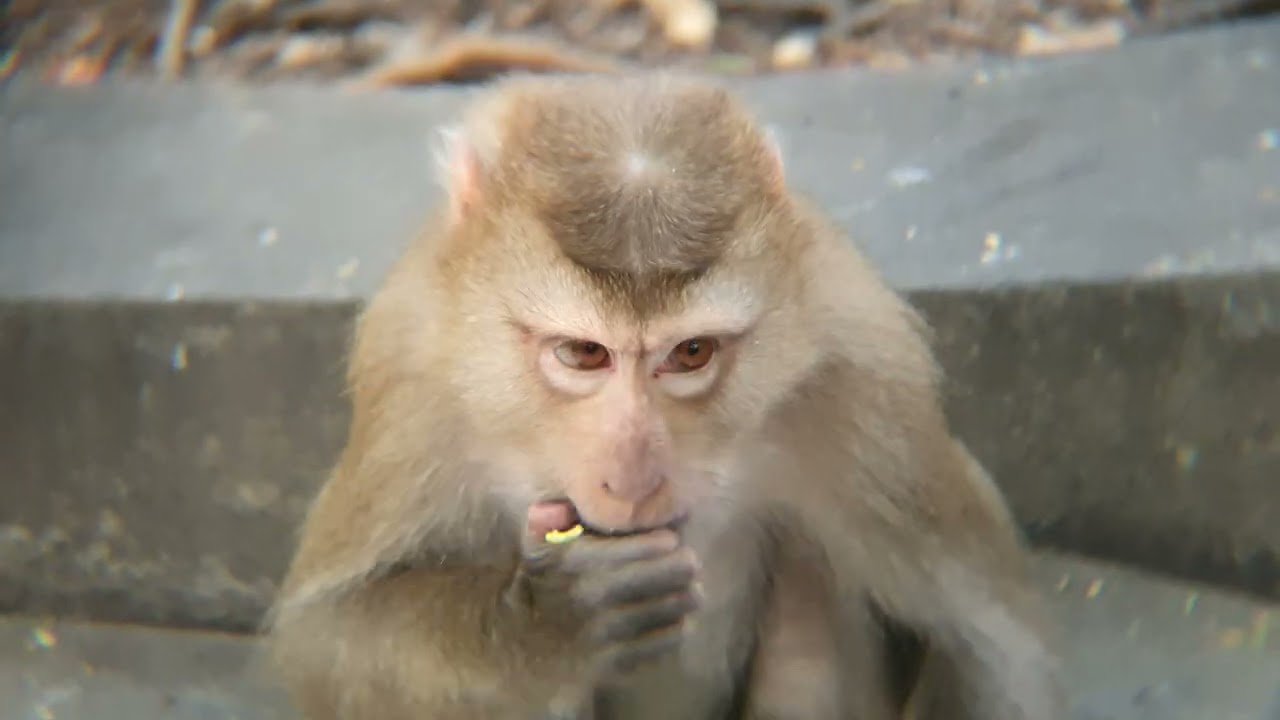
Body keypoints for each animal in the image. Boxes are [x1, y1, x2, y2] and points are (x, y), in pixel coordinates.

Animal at [262, 72, 1067, 720]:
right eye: (583, 353)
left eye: (691, 354)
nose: (634, 480)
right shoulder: (413, 387)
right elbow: (325, 636)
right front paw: (547, 621)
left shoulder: (866, 388)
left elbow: (993, 641)